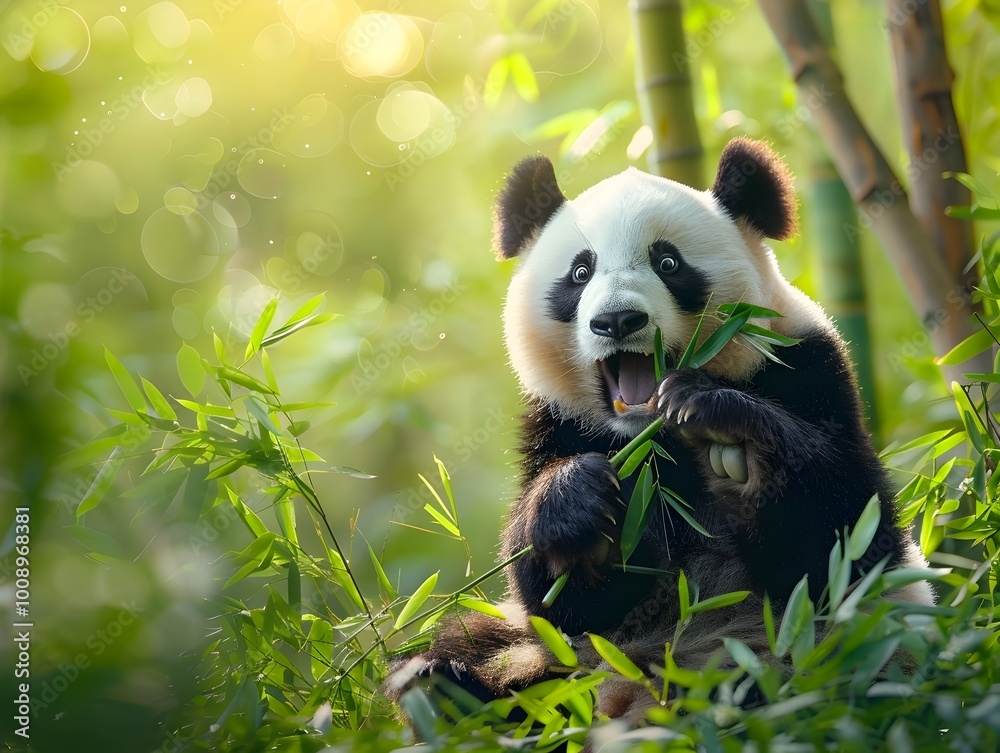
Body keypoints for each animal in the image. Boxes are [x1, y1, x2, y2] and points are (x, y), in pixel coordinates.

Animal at [386, 137, 932, 721]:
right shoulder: (557, 423)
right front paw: (582, 505)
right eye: (580, 273)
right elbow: (561, 602)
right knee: (478, 650)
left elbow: (845, 541)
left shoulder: (810, 369)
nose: (617, 321)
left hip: (810, 654)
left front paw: (726, 431)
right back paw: (439, 692)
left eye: (668, 262)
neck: (648, 437)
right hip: (553, 662)